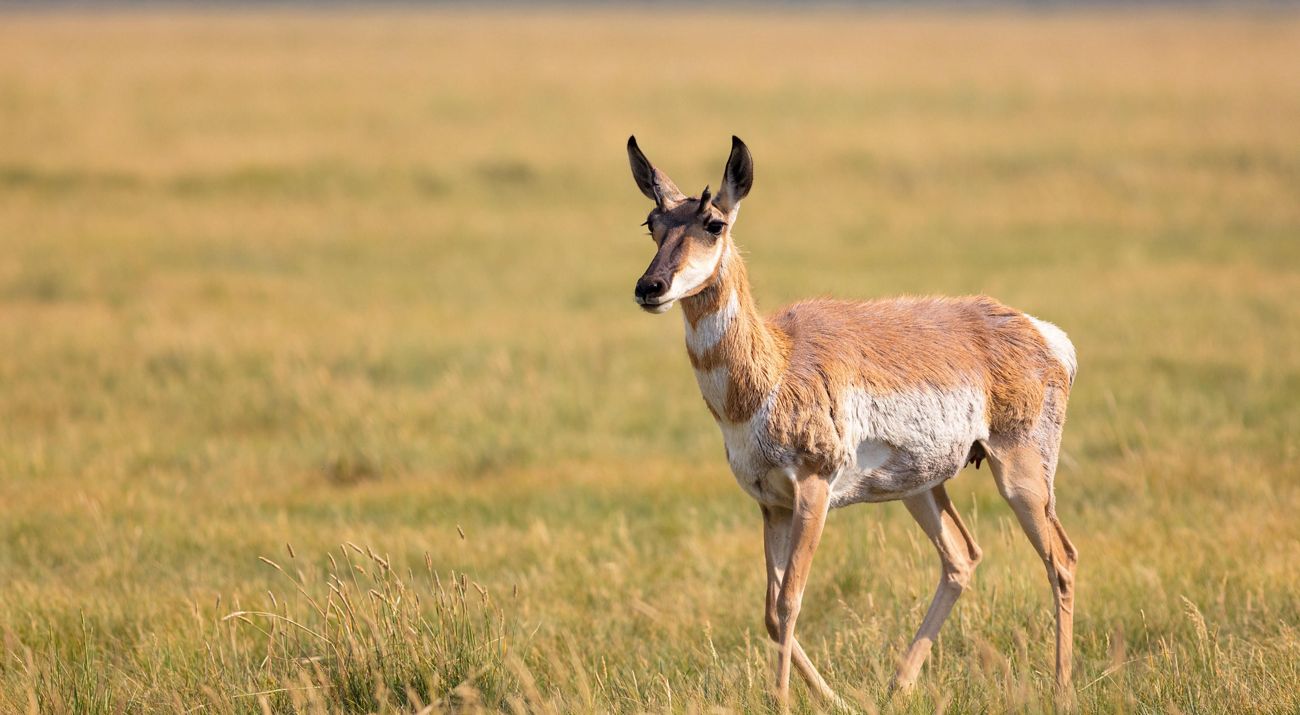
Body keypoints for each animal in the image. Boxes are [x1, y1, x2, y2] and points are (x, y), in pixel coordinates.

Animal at [625, 136, 1079, 705]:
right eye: (651, 222)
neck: (776, 365)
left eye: (713, 223)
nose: (650, 286)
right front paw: (834, 698)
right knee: (961, 557)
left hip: (1021, 475)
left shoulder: (813, 492)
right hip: (921, 487)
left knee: (1061, 559)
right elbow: (770, 611)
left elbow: (789, 601)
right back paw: (896, 686)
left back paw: (1060, 690)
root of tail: (1042, 333)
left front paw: (781, 702)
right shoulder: (771, 505)